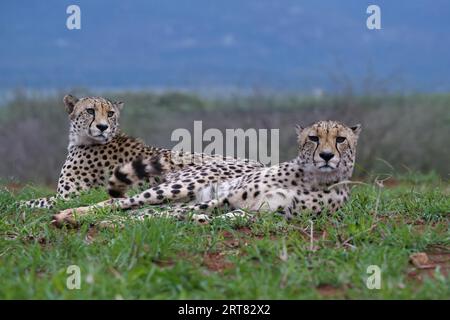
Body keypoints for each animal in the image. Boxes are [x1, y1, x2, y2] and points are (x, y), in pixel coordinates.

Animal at [53, 119, 362, 225]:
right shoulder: (224, 198)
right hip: (178, 187)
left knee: (139, 210)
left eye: (340, 139)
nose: (326, 156)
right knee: (120, 202)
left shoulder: (261, 212)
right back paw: (70, 214)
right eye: (313, 138)